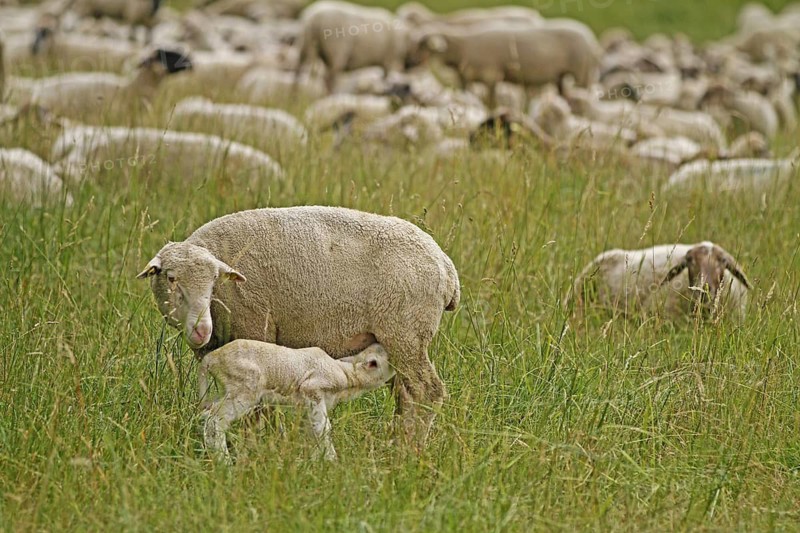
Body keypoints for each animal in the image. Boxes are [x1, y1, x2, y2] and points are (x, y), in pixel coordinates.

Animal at [137, 206, 460, 444]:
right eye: (171, 278)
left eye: (214, 281)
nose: (202, 330)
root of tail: (447, 267)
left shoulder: (256, 328)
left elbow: (260, 405)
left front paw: (257, 444)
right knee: (406, 394)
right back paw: (396, 441)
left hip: (406, 333)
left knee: (426, 391)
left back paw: (409, 448)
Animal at [199, 340, 395, 463]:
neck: (347, 375)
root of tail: (211, 359)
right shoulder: (313, 389)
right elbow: (324, 429)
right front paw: (332, 462)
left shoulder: (309, 405)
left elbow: (313, 431)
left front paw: (316, 462)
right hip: (245, 387)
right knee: (215, 419)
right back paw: (224, 462)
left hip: (227, 389)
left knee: (207, 411)